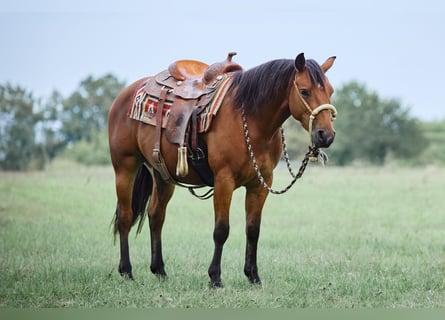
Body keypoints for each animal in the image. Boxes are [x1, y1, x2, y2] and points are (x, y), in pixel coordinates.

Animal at [108, 52, 336, 288]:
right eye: (305, 91)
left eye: (330, 91)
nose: (326, 135)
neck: (252, 121)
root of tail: (127, 92)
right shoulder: (223, 181)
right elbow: (221, 230)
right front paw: (215, 278)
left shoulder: (260, 183)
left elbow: (253, 230)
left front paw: (253, 276)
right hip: (125, 167)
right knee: (125, 216)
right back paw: (126, 271)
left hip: (163, 175)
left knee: (156, 216)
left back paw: (160, 270)